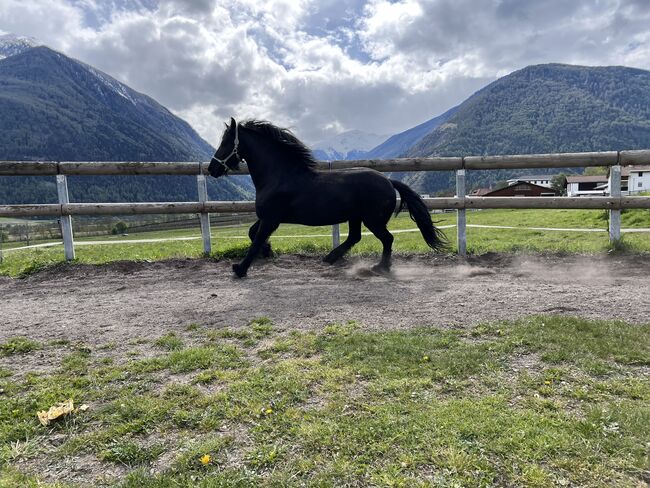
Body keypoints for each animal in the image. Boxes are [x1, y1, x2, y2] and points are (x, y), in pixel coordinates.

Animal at [209, 118, 446, 276]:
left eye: (226, 142)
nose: (212, 169)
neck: (280, 176)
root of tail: (389, 182)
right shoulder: (268, 217)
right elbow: (252, 233)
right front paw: (268, 251)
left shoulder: (271, 219)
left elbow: (256, 239)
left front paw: (240, 269)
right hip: (355, 217)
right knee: (355, 237)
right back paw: (331, 258)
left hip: (372, 220)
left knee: (387, 239)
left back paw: (380, 267)